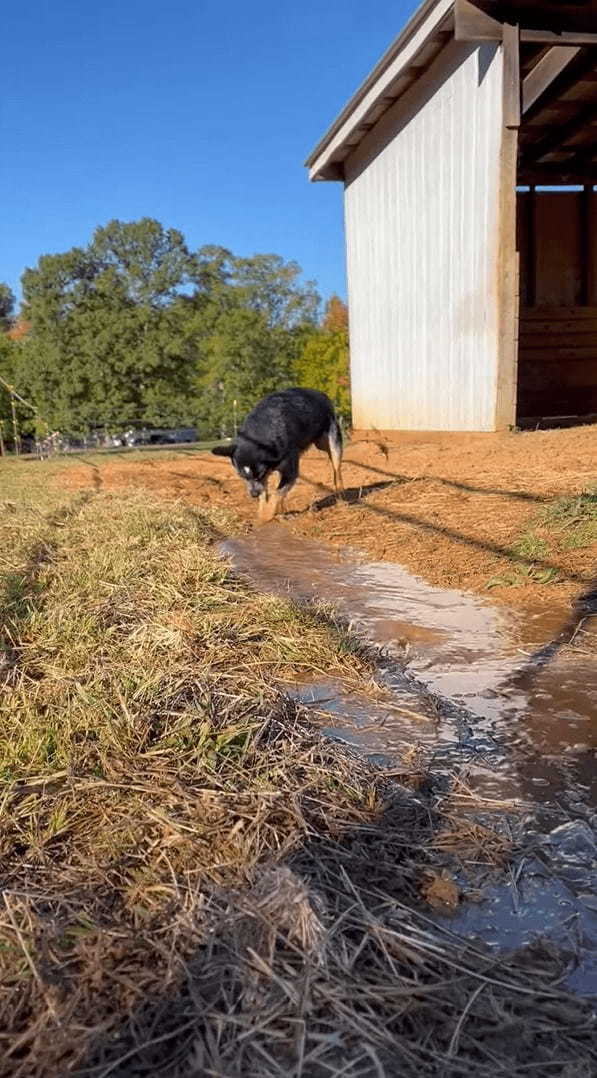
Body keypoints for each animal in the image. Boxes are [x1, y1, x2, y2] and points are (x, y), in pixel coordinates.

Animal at [212, 388, 344, 521]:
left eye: (260, 474)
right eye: (242, 476)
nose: (253, 494)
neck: (259, 432)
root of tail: (321, 394)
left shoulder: (289, 473)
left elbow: (276, 494)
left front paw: (266, 515)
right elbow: (267, 493)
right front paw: (264, 512)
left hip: (329, 441)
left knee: (336, 467)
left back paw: (341, 495)